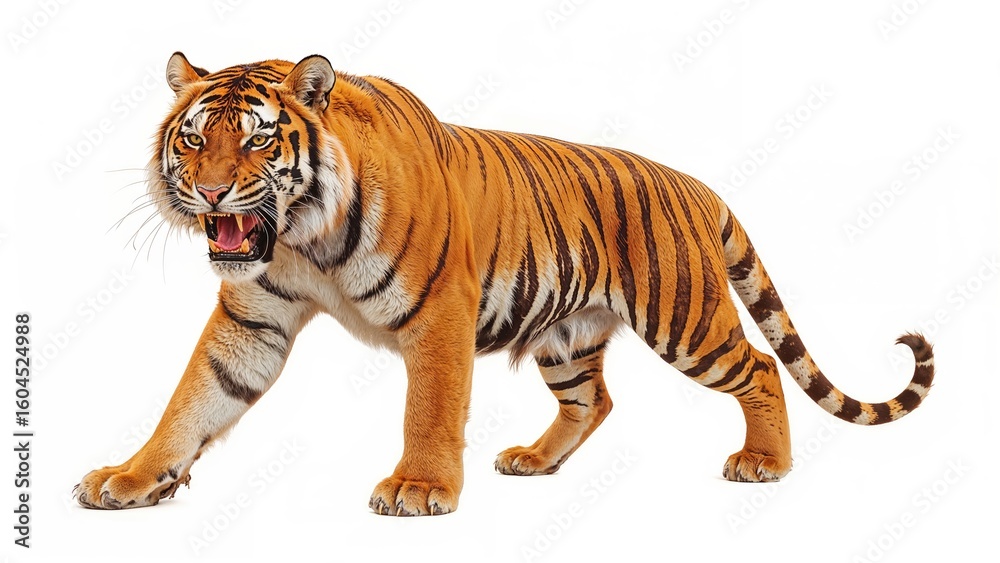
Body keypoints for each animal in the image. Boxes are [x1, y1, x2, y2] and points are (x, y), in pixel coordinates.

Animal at [74, 53, 934, 515]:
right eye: (195, 140)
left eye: (256, 141)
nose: (213, 193)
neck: (302, 240)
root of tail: (696, 185)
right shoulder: (254, 318)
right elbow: (193, 399)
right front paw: (132, 476)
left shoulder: (438, 313)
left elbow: (429, 408)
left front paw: (418, 488)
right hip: (566, 334)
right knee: (595, 399)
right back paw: (534, 459)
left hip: (685, 318)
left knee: (757, 365)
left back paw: (764, 462)